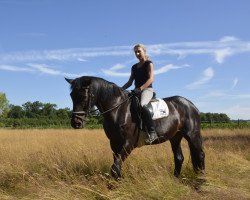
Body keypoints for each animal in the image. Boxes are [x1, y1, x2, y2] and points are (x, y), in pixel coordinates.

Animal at [65, 76, 205, 179]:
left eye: (83, 96)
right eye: (71, 95)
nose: (76, 123)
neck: (118, 110)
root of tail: (190, 104)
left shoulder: (128, 143)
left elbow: (114, 168)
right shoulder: (114, 143)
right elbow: (116, 166)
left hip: (192, 134)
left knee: (200, 154)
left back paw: (201, 179)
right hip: (175, 137)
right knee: (179, 157)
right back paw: (175, 179)